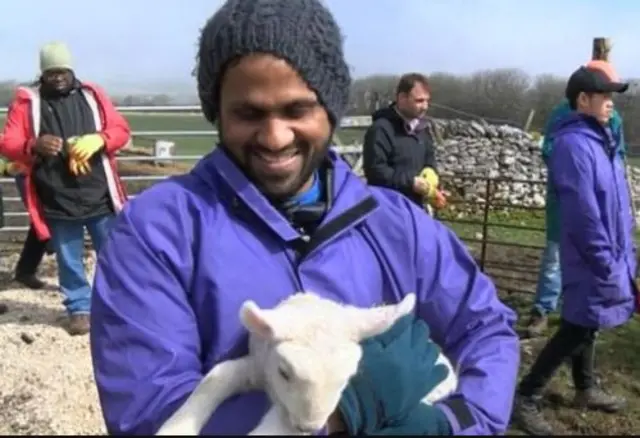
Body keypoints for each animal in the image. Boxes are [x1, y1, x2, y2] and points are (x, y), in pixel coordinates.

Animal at [155, 290, 458, 434]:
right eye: (284, 372)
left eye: (347, 379)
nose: (308, 428)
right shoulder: (259, 366)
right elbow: (219, 375)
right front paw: (174, 430)